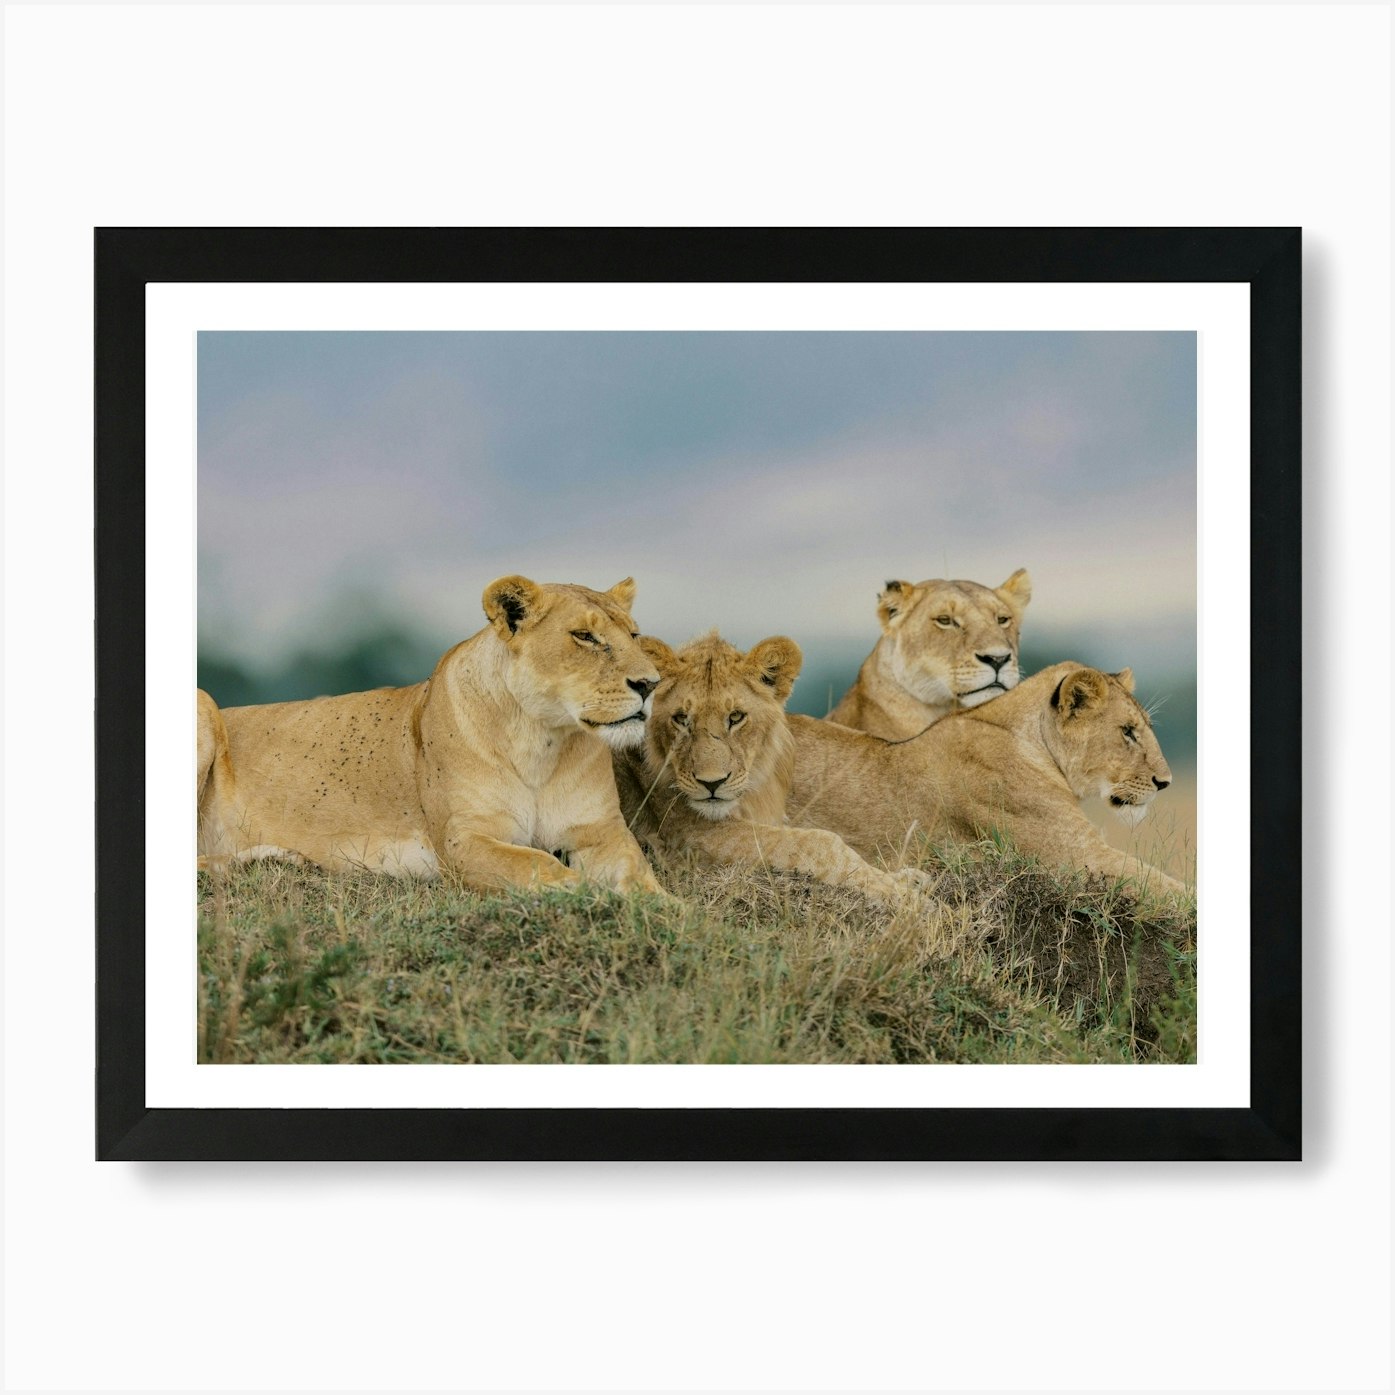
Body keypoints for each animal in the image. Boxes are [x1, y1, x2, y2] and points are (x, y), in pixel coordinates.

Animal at [197, 575, 666, 895]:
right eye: (584, 636)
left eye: (634, 634)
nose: (650, 684)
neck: (542, 740)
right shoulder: (463, 841)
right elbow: (540, 865)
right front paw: (587, 893)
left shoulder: (601, 832)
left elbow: (641, 877)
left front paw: (659, 907)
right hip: (203, 703)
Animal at [612, 632, 933, 906]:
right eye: (681, 718)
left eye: (736, 717)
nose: (712, 783)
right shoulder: (688, 837)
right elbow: (819, 841)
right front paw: (902, 895)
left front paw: (905, 879)